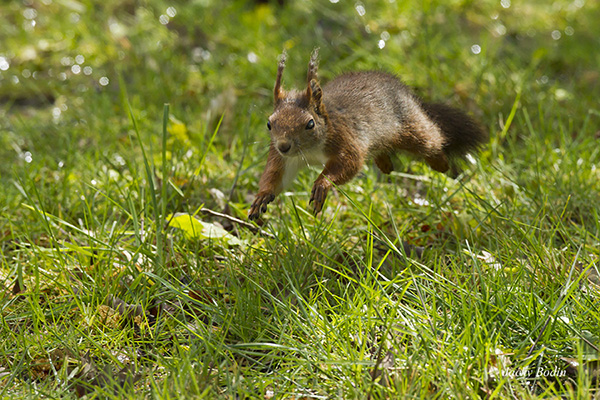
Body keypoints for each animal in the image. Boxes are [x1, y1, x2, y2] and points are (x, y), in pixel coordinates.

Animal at [248, 48, 488, 220]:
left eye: (310, 124)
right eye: (269, 124)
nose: (284, 146)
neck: (310, 151)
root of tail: (408, 94)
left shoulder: (345, 140)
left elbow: (349, 163)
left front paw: (322, 184)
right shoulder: (282, 159)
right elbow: (276, 177)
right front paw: (261, 196)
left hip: (411, 127)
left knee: (431, 140)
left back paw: (441, 163)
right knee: (381, 150)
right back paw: (386, 165)